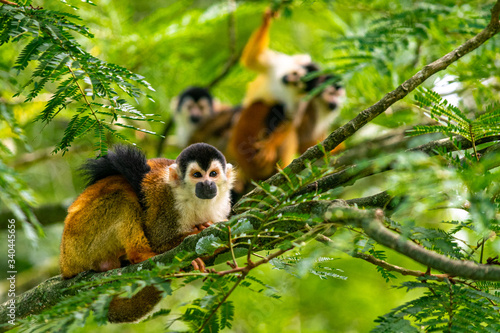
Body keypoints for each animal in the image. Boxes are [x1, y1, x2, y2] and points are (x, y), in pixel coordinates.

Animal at [60, 143, 234, 322]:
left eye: (213, 174)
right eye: (197, 175)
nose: (207, 184)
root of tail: (65, 265)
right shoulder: (164, 198)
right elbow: (157, 240)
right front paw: (197, 234)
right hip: (80, 238)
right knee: (122, 197)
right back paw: (141, 255)